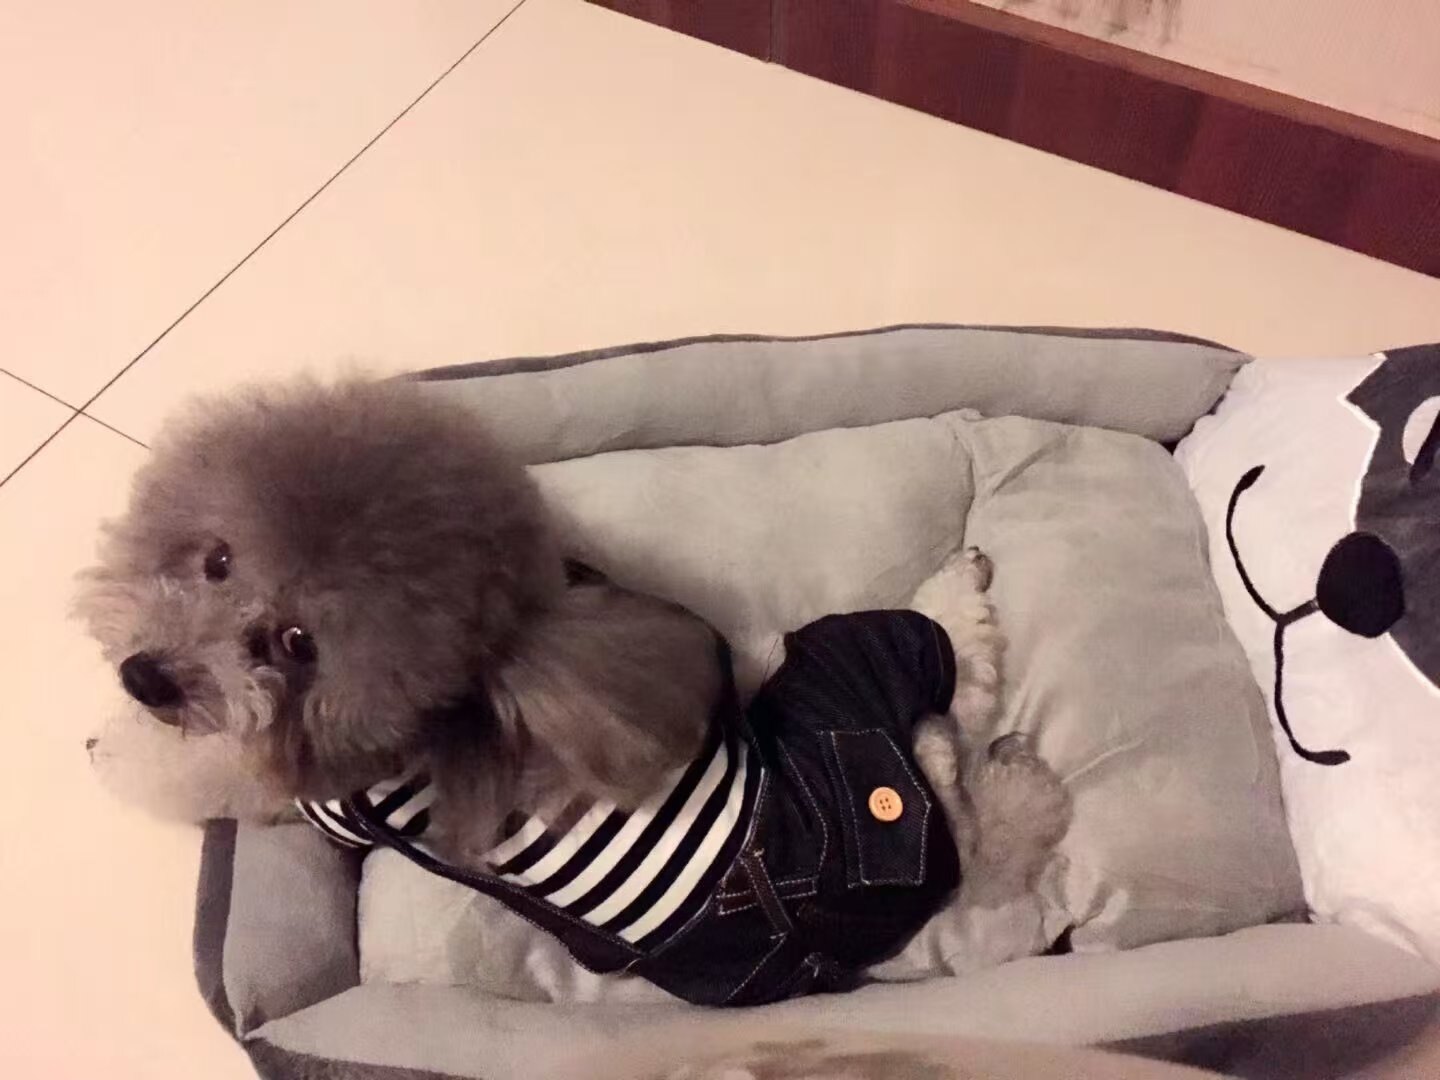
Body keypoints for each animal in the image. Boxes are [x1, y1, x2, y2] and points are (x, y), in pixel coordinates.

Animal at [78, 377, 1070, 1000]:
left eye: (295, 644)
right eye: (216, 560)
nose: (144, 675)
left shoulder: (320, 797)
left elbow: (206, 774)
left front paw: (115, 749)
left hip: (844, 668)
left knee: (957, 701)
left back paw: (965, 613)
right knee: (956, 756)